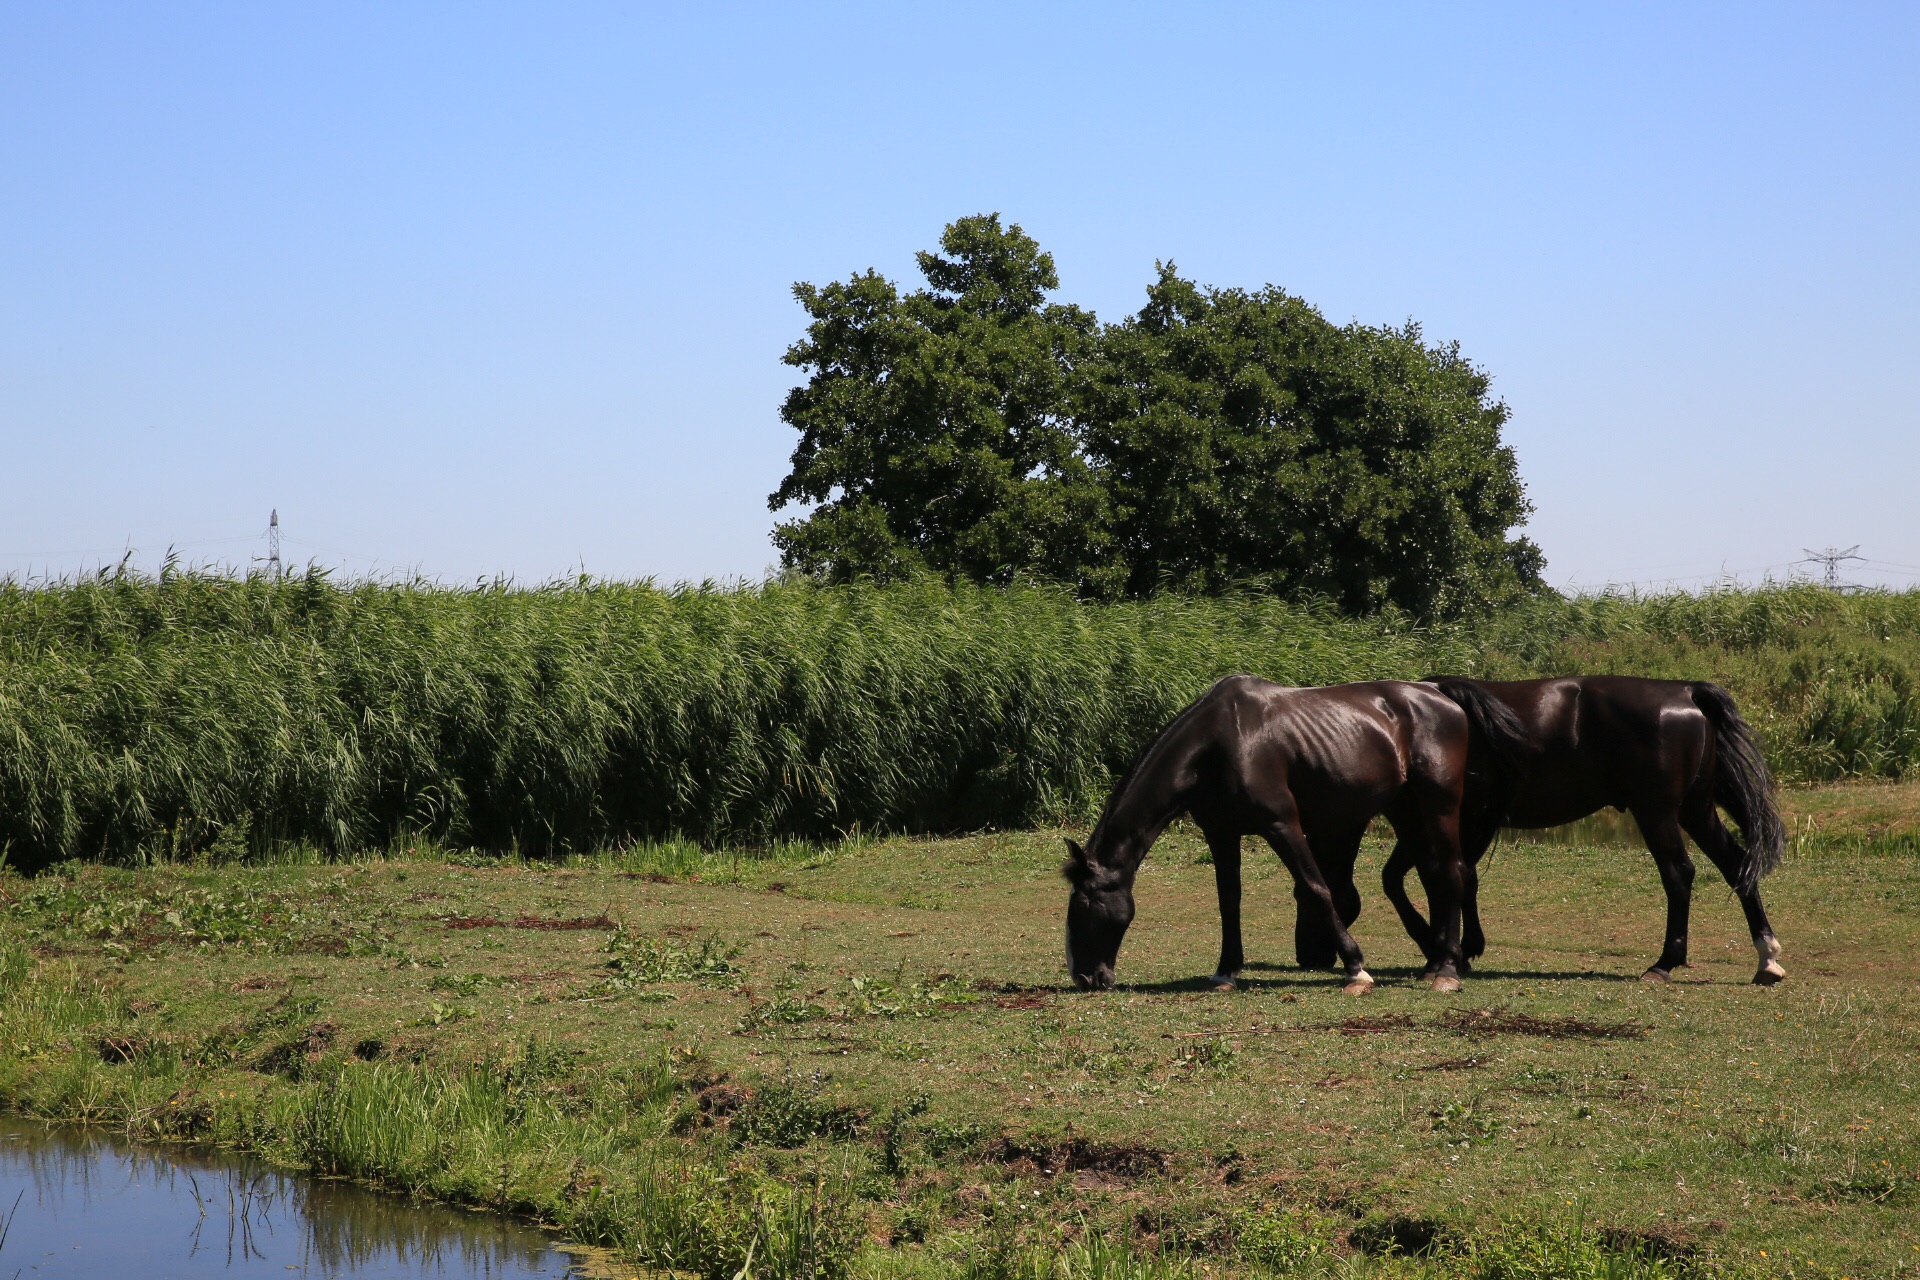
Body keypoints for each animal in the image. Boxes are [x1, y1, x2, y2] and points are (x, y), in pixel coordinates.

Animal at [1059, 675, 1520, 997]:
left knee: (1452, 873)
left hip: (1438, 806)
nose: (1086, 977)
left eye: (1085, 906)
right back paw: (1437, 962)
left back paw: (1447, 970)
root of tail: (1438, 692)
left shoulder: (1281, 824)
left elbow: (1316, 888)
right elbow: (1229, 901)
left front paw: (1356, 968)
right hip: (1406, 811)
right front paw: (1226, 970)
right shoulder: (1221, 833)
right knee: (1437, 875)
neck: (1220, 742)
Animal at [1328, 675, 1789, 990]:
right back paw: (1766, 958)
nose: (1317, 955)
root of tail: (1684, 691)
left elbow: (1436, 877)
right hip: (1696, 809)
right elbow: (1444, 877)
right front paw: (1455, 948)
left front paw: (1443, 949)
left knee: (1679, 873)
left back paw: (1664, 962)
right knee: (1735, 864)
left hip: (1656, 812)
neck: (1402, 733)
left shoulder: (1454, 820)